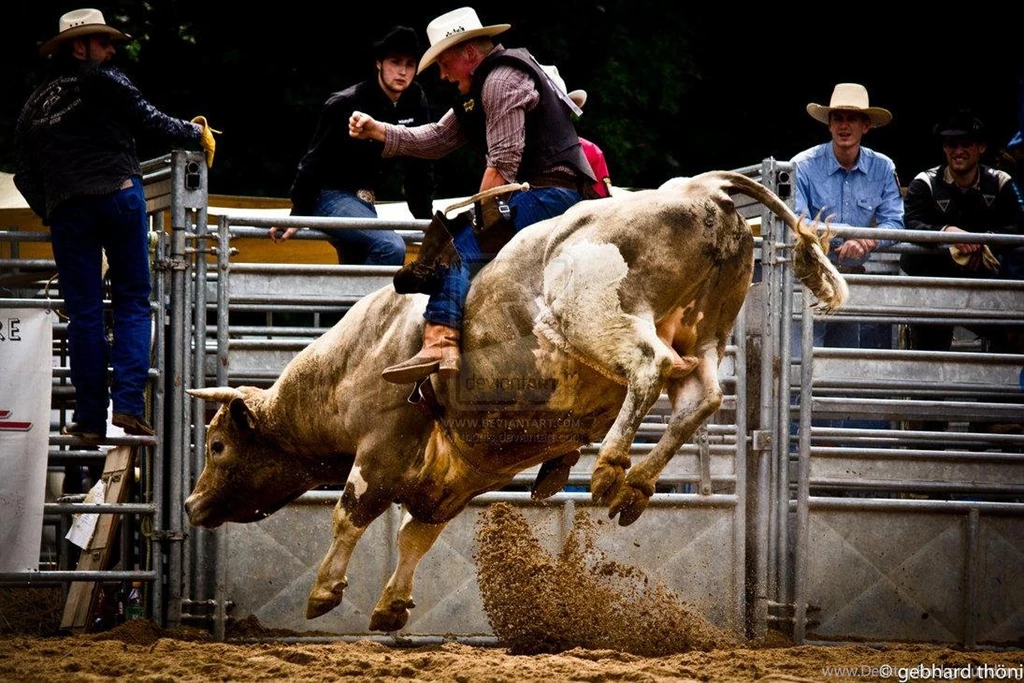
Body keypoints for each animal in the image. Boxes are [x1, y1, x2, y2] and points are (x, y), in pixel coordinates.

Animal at [186, 170, 848, 632]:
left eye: (216, 444)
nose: (191, 505)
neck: (358, 359)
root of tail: (704, 188)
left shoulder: (380, 446)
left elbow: (352, 513)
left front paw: (325, 593)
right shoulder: (455, 479)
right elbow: (416, 537)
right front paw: (392, 607)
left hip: (599, 315)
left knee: (649, 367)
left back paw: (610, 469)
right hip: (704, 333)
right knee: (700, 398)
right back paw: (635, 487)